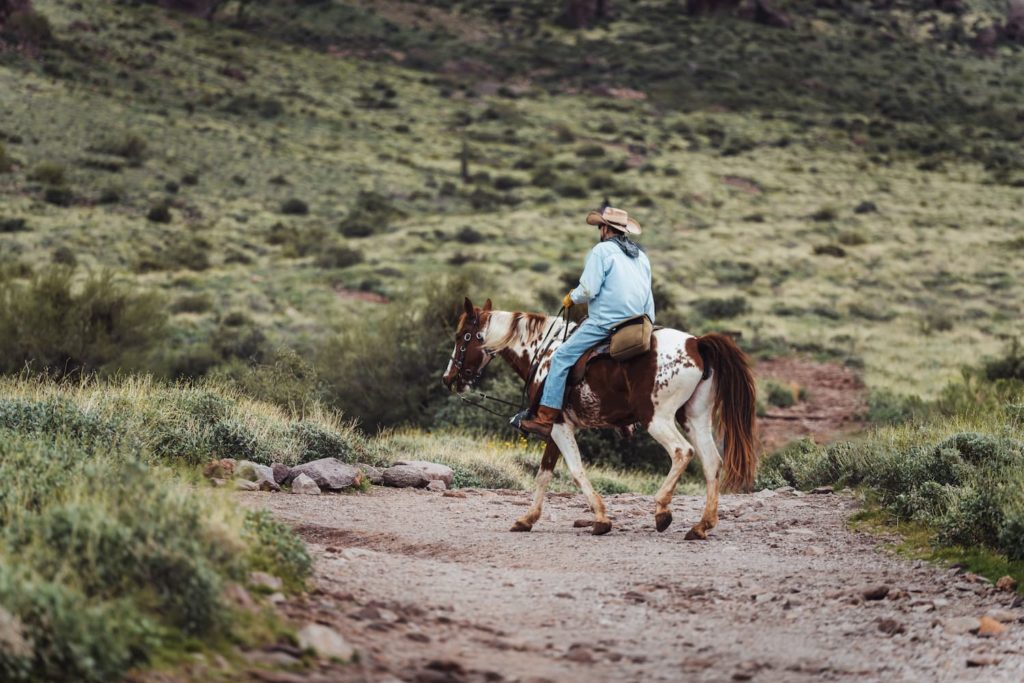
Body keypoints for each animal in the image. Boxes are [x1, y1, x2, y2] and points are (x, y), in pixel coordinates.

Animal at [442, 296, 761, 540]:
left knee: (683, 452)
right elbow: (544, 473)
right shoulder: (556, 427)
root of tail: (697, 344)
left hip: (657, 419)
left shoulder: (560, 427)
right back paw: (701, 525)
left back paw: (662, 510)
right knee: (712, 462)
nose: (448, 378)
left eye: (461, 337)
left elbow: (576, 470)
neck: (543, 351)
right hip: (695, 418)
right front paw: (527, 519)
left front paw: (601, 519)